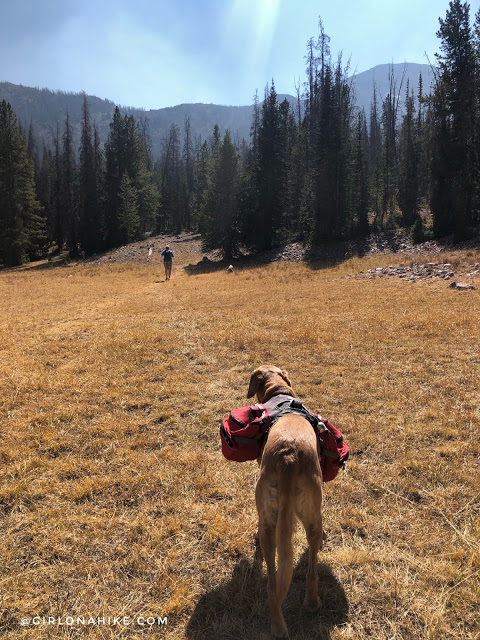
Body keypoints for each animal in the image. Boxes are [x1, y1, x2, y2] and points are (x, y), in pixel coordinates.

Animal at [248, 364, 326, 640]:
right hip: (313, 517)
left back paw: (278, 628)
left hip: (269, 525)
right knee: (311, 570)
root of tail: (288, 458)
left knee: (272, 586)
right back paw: (311, 604)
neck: (280, 394)